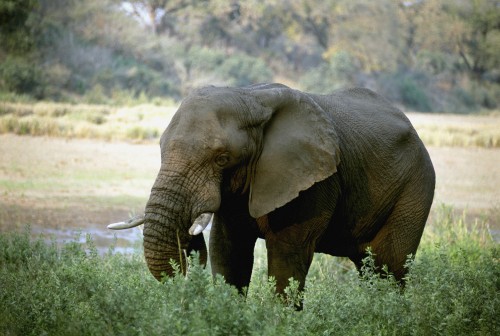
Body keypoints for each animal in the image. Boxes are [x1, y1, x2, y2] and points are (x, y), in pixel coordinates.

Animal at [108, 83, 434, 296]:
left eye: (222, 158)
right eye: (161, 148)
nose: (189, 242)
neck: (251, 97)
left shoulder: (312, 182)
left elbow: (286, 259)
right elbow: (228, 251)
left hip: (416, 187)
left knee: (389, 266)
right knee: (369, 268)